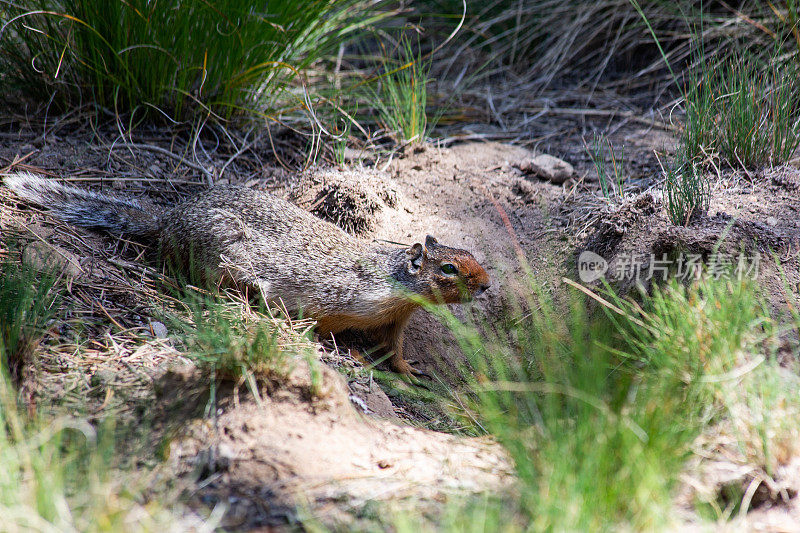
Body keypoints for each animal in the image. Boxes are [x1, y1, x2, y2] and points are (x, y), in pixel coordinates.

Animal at [6, 172, 488, 376]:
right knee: (193, 279)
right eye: (449, 268)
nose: (486, 285)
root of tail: (168, 218)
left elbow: (396, 349)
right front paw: (336, 350)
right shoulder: (332, 299)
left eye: (471, 255)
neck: (394, 286)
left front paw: (408, 370)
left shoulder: (397, 321)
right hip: (219, 253)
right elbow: (316, 323)